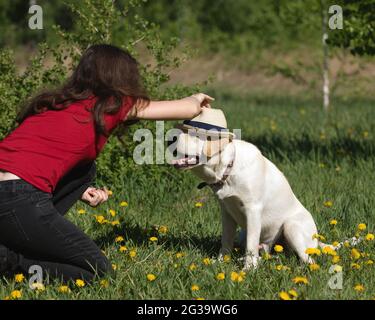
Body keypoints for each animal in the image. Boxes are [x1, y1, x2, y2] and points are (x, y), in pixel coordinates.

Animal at [170, 109, 326, 268]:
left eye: (193, 135)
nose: (170, 138)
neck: (228, 169)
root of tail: (317, 241)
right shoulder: (226, 211)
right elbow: (226, 240)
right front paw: (221, 262)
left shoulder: (253, 209)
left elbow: (251, 245)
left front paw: (248, 269)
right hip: (244, 235)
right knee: (270, 254)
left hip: (291, 227)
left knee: (307, 258)